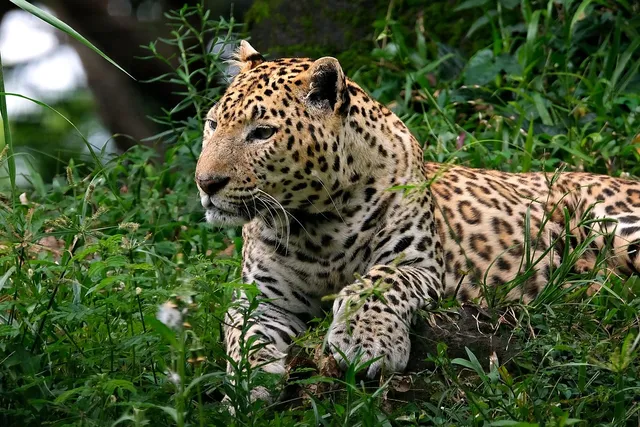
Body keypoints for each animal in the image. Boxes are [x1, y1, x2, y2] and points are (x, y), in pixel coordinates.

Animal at [195, 41, 640, 383]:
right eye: (212, 124)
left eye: (262, 133)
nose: (205, 182)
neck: (317, 223)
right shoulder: (261, 297)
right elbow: (245, 333)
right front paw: (249, 386)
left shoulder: (418, 266)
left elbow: (376, 283)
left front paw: (366, 343)